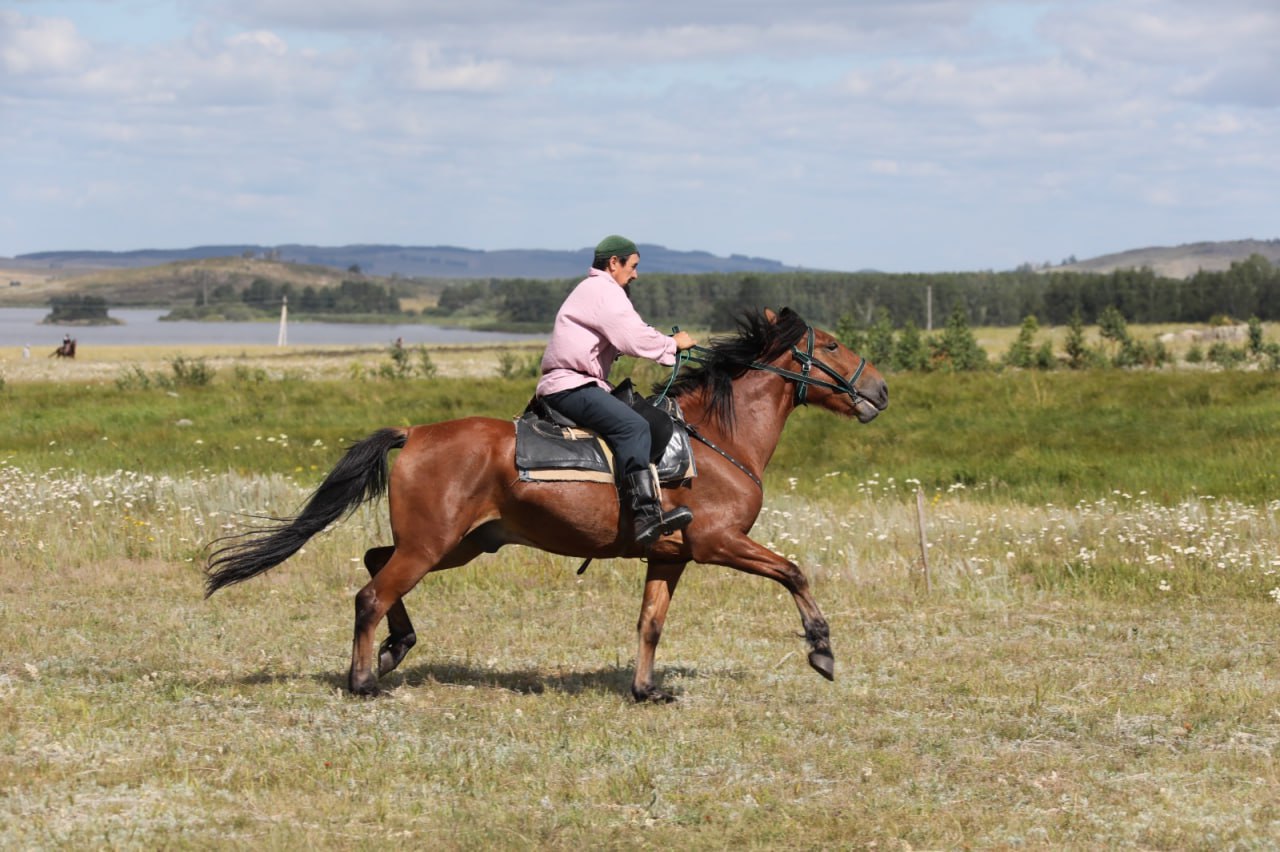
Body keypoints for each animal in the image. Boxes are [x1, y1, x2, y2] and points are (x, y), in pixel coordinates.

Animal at [207, 308, 890, 701]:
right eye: (831, 345)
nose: (880, 390)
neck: (716, 438)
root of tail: (416, 433)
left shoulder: (670, 556)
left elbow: (650, 623)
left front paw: (646, 691)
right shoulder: (718, 543)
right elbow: (794, 572)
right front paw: (822, 650)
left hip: (459, 544)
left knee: (376, 562)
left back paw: (397, 647)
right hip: (432, 545)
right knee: (371, 593)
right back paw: (365, 681)